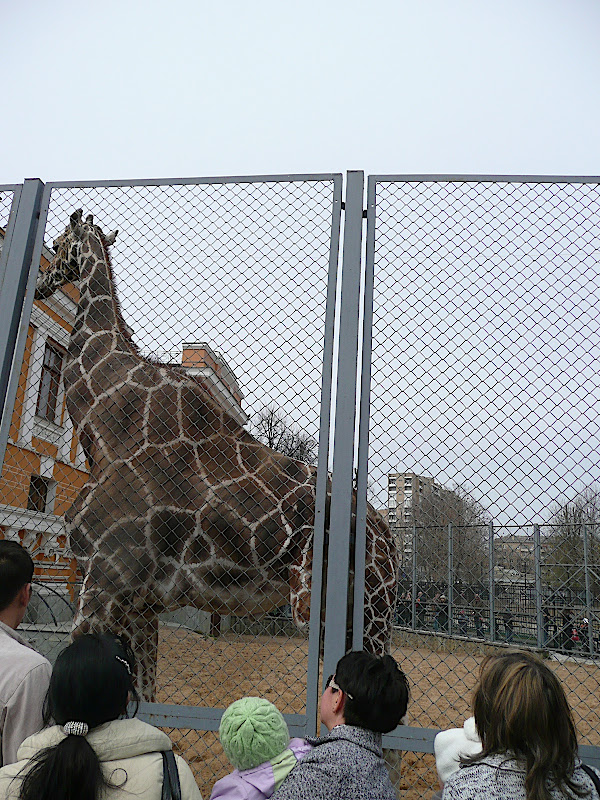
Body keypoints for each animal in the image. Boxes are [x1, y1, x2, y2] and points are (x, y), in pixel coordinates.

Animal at [35, 209, 398, 700]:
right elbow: (145, 699)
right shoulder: (139, 603)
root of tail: (390, 537)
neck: (102, 423)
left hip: (359, 609)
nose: (42, 283)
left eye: (59, 242)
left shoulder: (105, 580)